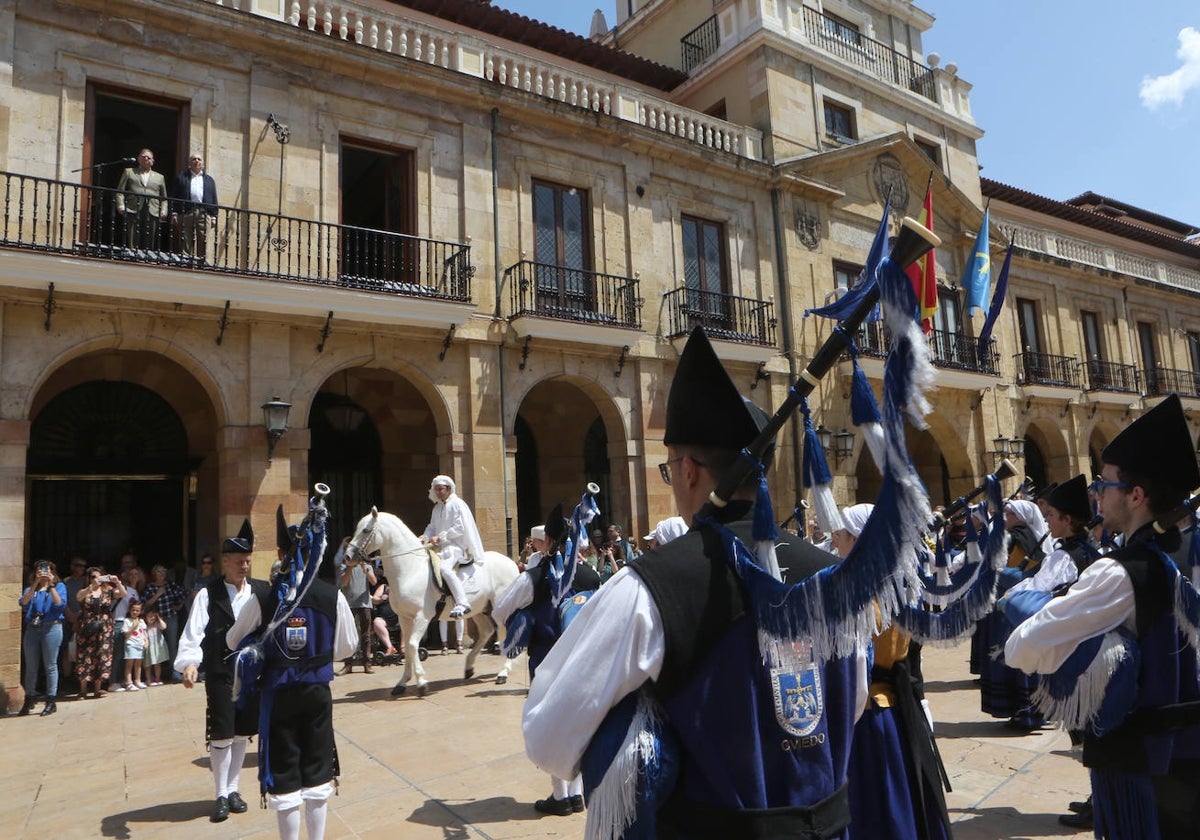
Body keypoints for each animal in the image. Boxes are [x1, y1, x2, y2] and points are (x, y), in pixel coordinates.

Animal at [345, 506, 518, 696]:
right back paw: (469, 667)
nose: (347, 557)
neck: (411, 570)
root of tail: (511, 562)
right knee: (487, 631)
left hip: (500, 607)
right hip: (479, 609)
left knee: (505, 632)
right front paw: (402, 683)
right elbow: (407, 648)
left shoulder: (423, 617)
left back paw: (503, 673)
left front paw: (421, 682)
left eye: (366, 530)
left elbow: (412, 645)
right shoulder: (404, 618)